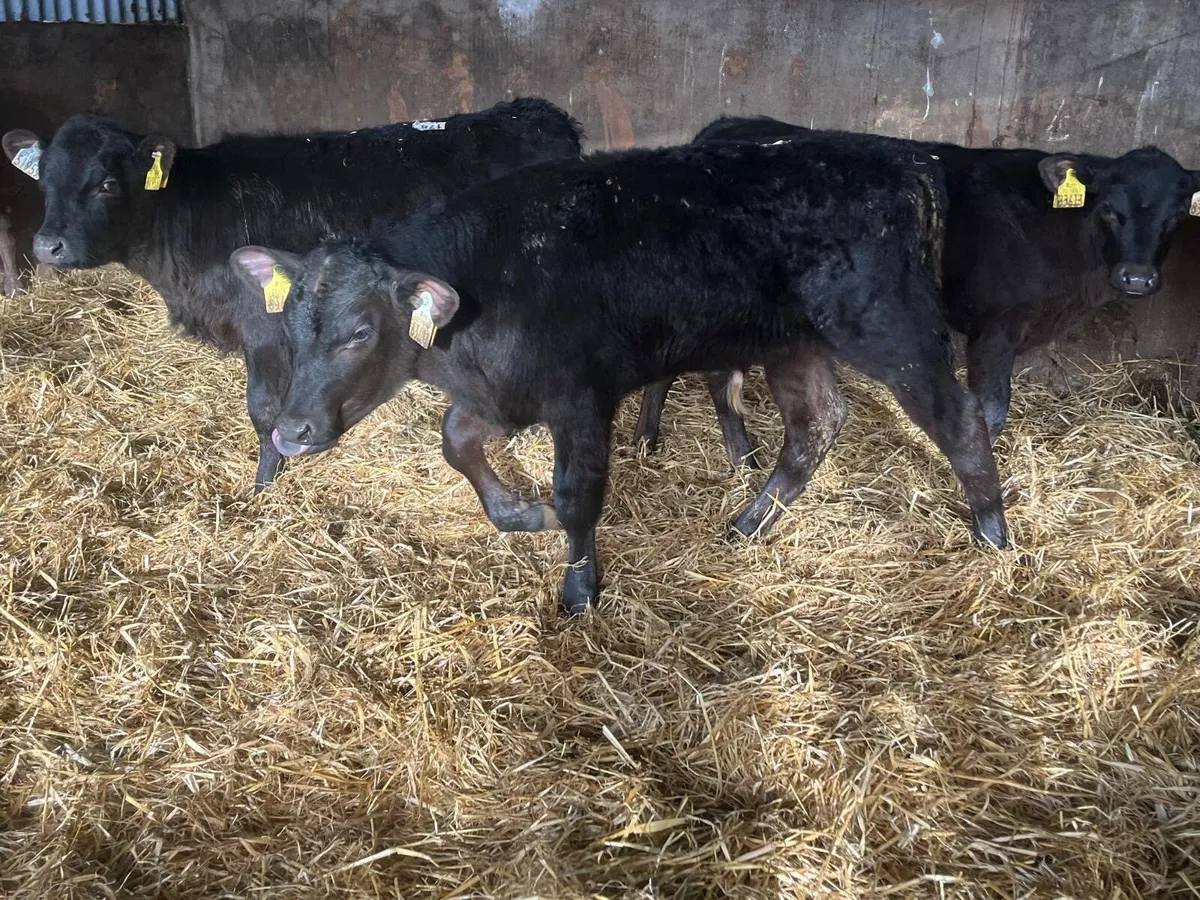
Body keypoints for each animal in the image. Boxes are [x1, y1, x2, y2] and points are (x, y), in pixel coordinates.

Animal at [1, 98, 582, 487]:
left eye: (106, 184)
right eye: (43, 180)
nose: (48, 246)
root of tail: (531, 111)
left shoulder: (264, 324)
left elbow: (264, 409)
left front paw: (264, 485)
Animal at [233, 134, 1007, 614]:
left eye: (361, 333)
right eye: (290, 327)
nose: (291, 434)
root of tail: (904, 159)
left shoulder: (580, 399)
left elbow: (578, 497)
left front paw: (580, 592)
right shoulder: (507, 394)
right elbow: (457, 443)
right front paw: (523, 514)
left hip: (891, 330)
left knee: (960, 419)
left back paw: (994, 536)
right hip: (794, 342)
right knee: (815, 426)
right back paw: (749, 524)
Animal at [633, 117, 1200, 462]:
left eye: (1177, 215)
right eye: (1109, 209)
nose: (1137, 278)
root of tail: (721, 127)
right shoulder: (995, 327)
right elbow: (991, 408)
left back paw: (650, 439)